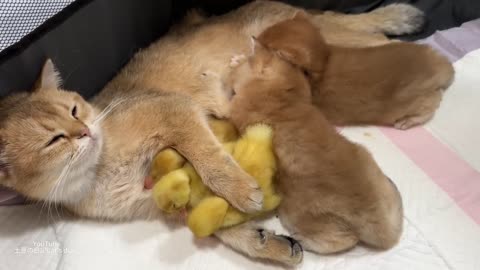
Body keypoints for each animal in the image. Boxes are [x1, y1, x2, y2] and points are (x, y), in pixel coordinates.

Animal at [228, 37, 402, 253]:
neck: (283, 97)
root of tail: (378, 224)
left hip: (304, 222)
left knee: (341, 241)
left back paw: (296, 240)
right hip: (368, 159)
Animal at [258, 13, 454, 129]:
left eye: (266, 44)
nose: (254, 39)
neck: (325, 58)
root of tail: (439, 65)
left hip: (418, 102)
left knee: (431, 106)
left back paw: (408, 121)